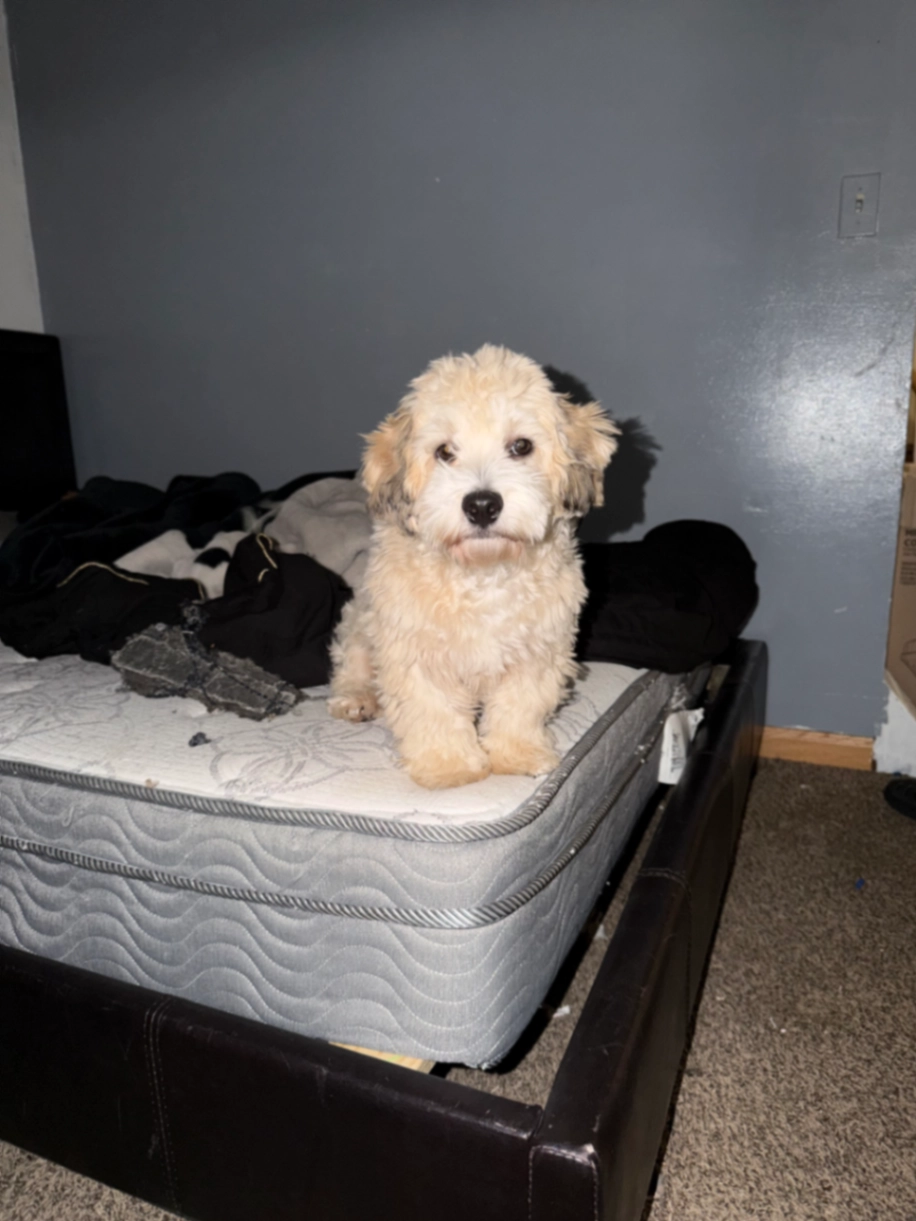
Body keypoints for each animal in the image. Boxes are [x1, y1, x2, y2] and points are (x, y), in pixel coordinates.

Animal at [328, 344, 618, 789]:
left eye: (520, 446)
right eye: (445, 452)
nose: (482, 505)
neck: (483, 574)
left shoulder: (538, 652)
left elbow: (519, 708)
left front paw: (517, 755)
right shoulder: (416, 654)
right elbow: (435, 712)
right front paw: (449, 766)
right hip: (360, 623)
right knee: (351, 664)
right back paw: (356, 698)